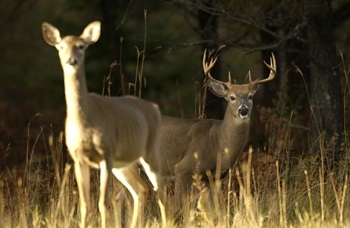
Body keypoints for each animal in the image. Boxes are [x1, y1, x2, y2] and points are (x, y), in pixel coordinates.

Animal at [41, 21, 165, 228]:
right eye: (61, 47)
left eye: (81, 46)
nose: (71, 61)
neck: (85, 122)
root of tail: (155, 108)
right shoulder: (78, 159)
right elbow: (85, 205)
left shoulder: (106, 155)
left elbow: (102, 202)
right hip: (123, 163)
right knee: (141, 189)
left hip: (149, 152)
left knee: (159, 190)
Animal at [157, 49, 276, 221]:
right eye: (232, 97)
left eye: (250, 96)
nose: (243, 110)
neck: (218, 143)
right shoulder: (183, 168)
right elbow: (179, 209)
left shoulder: (213, 177)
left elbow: (213, 211)